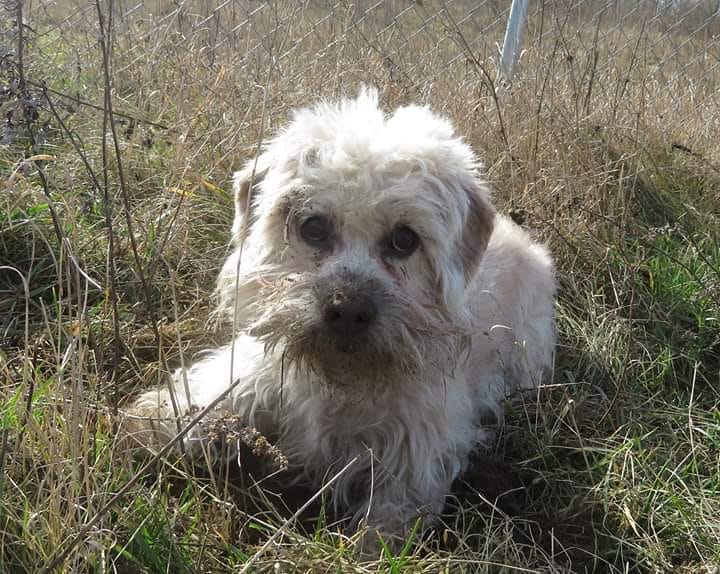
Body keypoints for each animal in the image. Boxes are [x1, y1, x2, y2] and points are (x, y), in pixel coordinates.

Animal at [125, 87, 556, 548]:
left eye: (404, 240)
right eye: (313, 227)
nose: (347, 309)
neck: (338, 382)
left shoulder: (417, 454)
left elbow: (385, 526)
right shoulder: (251, 372)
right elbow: (195, 403)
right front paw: (152, 423)